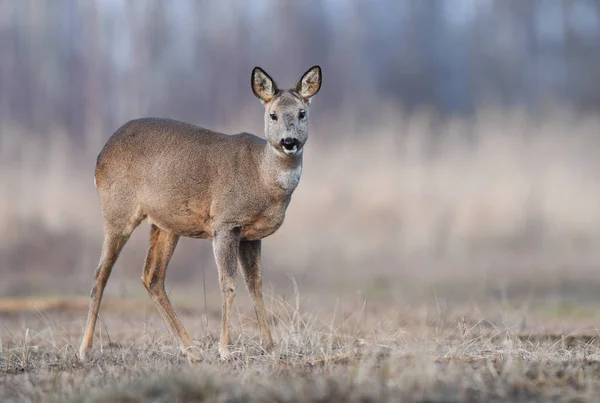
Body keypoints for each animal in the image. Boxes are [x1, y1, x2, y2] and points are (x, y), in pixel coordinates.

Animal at [81, 64, 324, 362]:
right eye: (273, 114)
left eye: (302, 113)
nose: (289, 142)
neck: (262, 176)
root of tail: (100, 156)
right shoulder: (225, 222)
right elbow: (228, 284)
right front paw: (225, 350)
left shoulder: (251, 234)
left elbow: (255, 284)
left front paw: (269, 346)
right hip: (118, 210)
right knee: (101, 273)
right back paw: (85, 349)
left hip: (166, 224)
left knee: (151, 277)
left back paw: (191, 349)